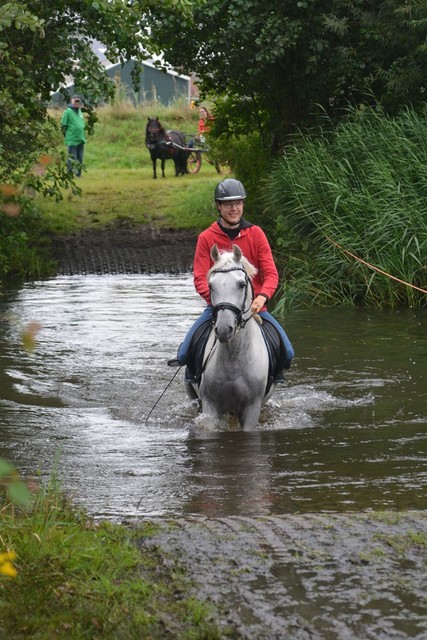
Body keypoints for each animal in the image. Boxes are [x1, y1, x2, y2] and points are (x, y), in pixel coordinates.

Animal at [186, 245, 274, 430]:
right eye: (211, 285)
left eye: (241, 284)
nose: (224, 329)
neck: (235, 356)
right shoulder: (210, 406)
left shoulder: (252, 409)